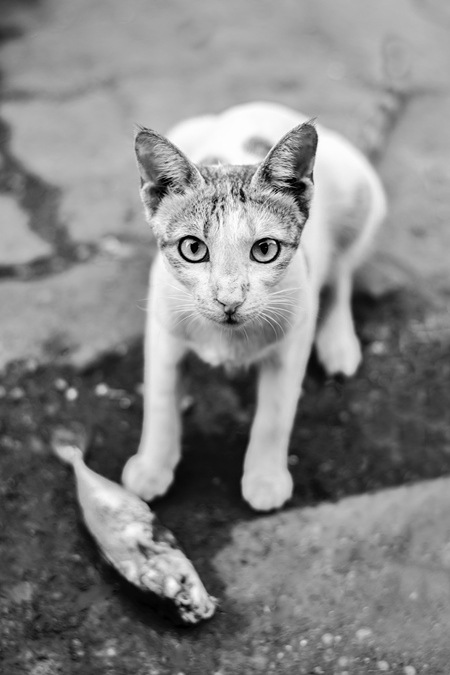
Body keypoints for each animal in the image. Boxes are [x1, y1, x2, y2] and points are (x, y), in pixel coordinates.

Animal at [120, 101, 386, 512]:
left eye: (264, 249)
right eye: (193, 248)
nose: (229, 299)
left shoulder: (295, 332)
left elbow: (274, 414)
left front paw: (265, 479)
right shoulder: (163, 325)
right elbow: (160, 399)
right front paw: (152, 467)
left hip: (363, 194)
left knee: (342, 269)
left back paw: (338, 341)